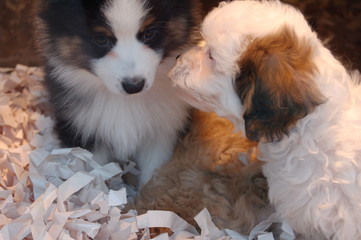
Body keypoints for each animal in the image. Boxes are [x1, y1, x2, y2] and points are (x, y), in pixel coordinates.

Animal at [36, 0, 222, 186]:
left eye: (149, 32)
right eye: (101, 38)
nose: (134, 86)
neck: (126, 101)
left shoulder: (163, 130)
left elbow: (152, 171)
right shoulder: (82, 126)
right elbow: (94, 176)